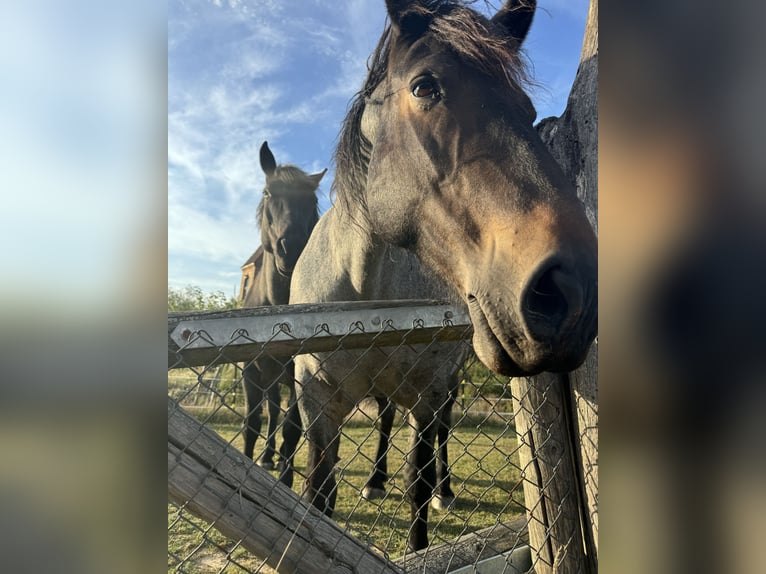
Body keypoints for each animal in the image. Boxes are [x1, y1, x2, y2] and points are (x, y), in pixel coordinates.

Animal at [292, 1, 600, 560]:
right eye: (424, 87)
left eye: (526, 110)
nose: (572, 290)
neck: (365, 286)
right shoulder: (314, 398)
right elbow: (318, 495)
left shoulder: (428, 390)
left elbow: (416, 477)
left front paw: (423, 524)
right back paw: (375, 481)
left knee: (440, 434)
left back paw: (445, 490)